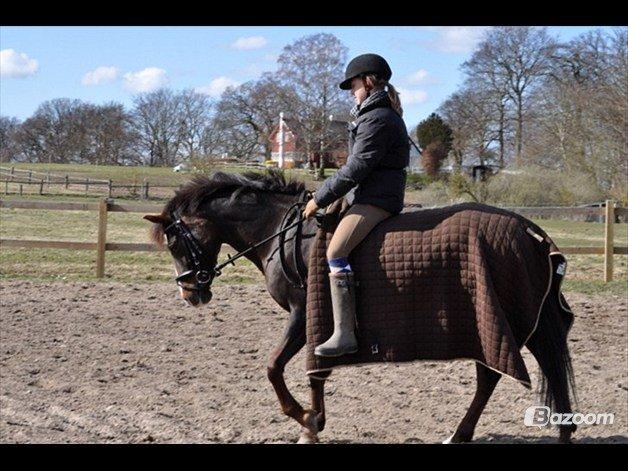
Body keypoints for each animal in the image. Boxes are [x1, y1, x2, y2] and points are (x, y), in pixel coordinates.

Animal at [145, 171, 576, 446]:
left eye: (175, 242)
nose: (190, 294)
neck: (281, 231)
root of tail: (530, 231)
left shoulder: (304, 314)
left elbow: (276, 367)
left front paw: (307, 421)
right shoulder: (314, 319)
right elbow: (313, 373)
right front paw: (314, 422)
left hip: (497, 320)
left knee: (492, 374)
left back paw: (461, 434)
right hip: (522, 320)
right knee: (528, 368)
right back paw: (558, 430)